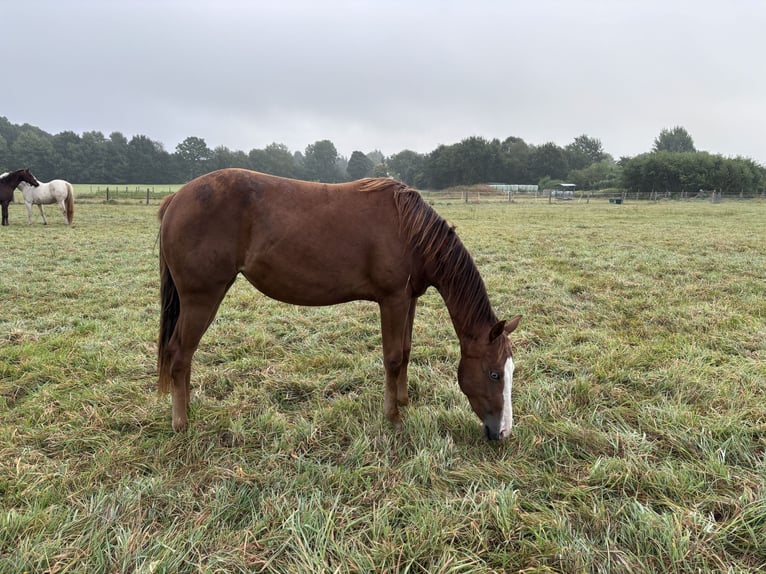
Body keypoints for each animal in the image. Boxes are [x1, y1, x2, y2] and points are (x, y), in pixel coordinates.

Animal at [157, 169, 521, 440]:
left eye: (510, 371)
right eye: (493, 374)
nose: (503, 432)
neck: (412, 233)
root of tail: (177, 198)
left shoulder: (410, 300)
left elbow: (405, 352)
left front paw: (404, 401)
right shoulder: (392, 301)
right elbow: (392, 359)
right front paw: (393, 416)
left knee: (183, 356)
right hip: (202, 297)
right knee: (180, 354)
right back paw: (181, 423)